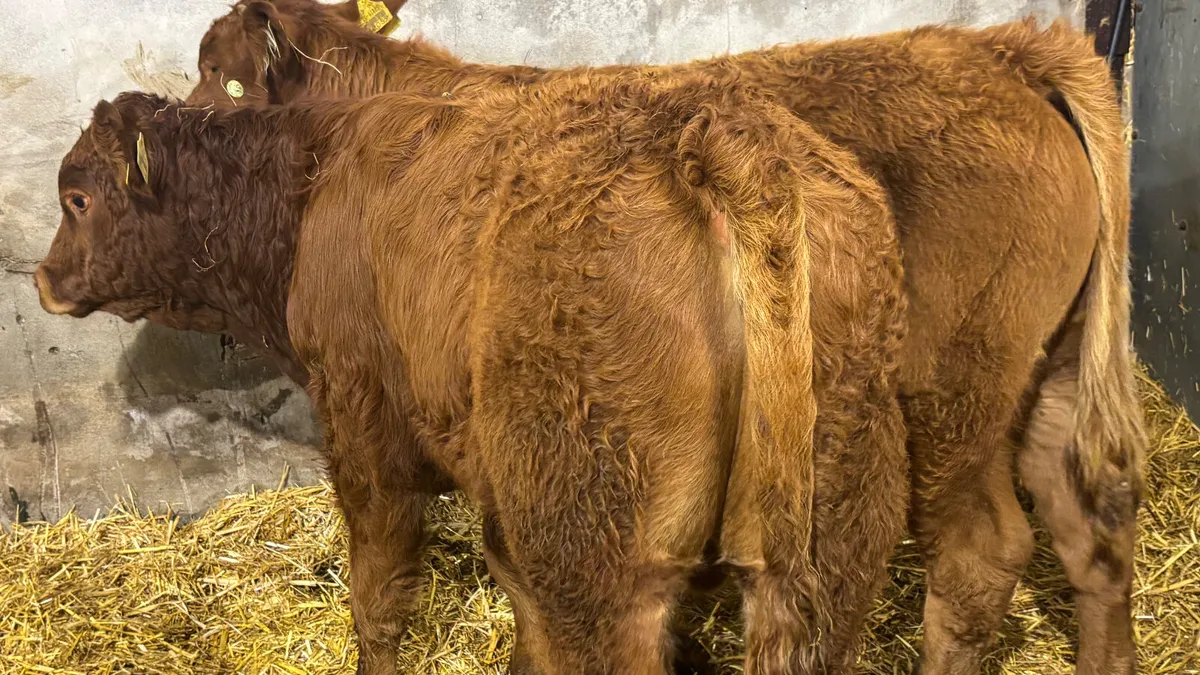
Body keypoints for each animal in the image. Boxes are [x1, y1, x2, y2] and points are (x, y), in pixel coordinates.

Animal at [35, 74, 908, 674]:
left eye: (77, 197)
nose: (42, 278)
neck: (314, 182)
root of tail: (715, 132)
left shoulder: (362, 427)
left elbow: (377, 594)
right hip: (831, 546)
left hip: (601, 551)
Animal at [182, 3, 1146, 673]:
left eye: (224, 80)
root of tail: (1005, 51)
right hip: (1047, 376)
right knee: (1091, 516)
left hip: (958, 399)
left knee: (985, 552)